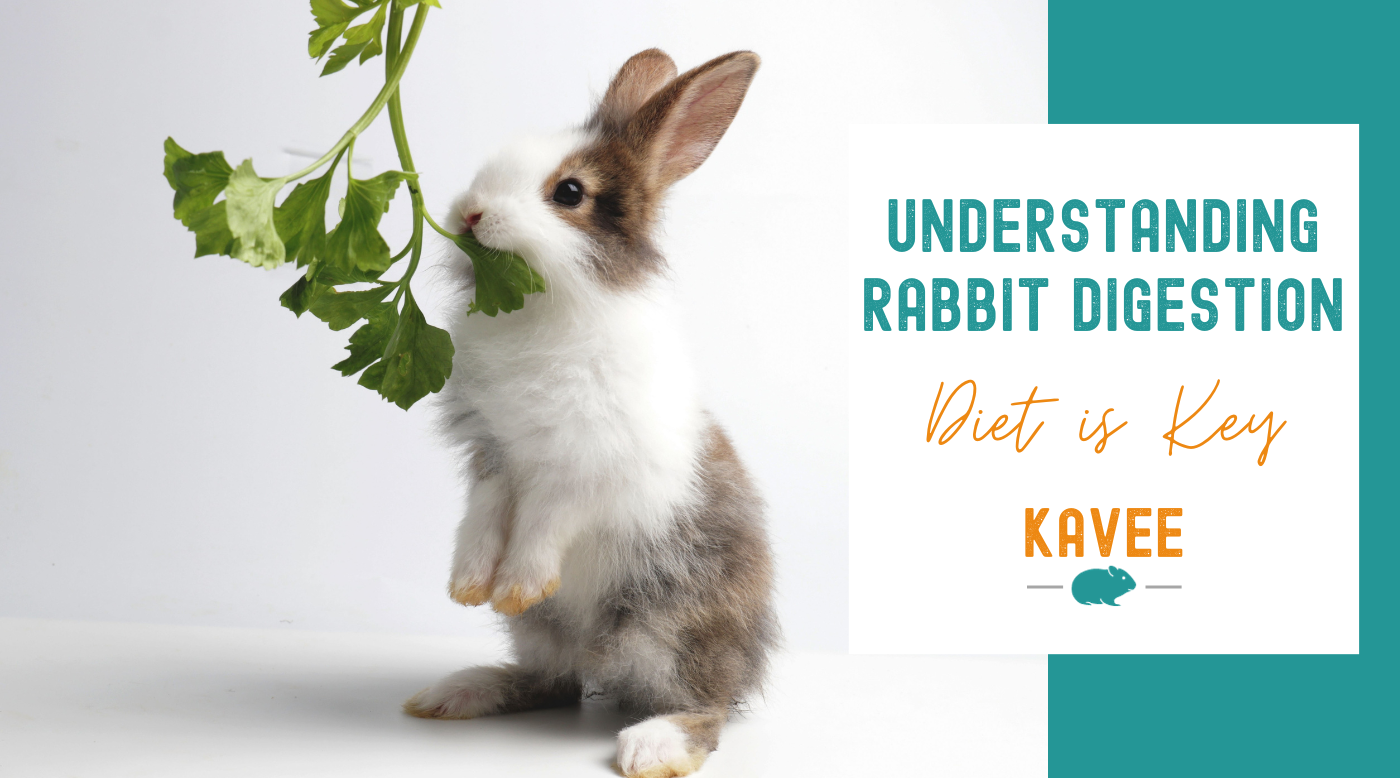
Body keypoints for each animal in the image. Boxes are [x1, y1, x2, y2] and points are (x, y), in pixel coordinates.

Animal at [401, 48, 778, 778]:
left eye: (570, 193)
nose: (469, 214)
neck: (538, 309)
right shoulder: (493, 452)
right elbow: (484, 517)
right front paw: (469, 587)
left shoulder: (582, 465)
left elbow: (546, 520)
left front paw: (516, 583)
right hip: (546, 635)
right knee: (555, 682)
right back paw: (458, 692)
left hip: (673, 624)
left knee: (706, 706)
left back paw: (652, 746)